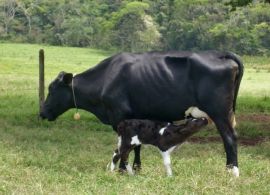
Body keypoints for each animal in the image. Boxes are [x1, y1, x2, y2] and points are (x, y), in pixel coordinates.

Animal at [40, 50, 245, 177]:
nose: (42, 112)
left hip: (220, 112)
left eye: (52, 89)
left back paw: (232, 171)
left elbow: (124, 147)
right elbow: (136, 145)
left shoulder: (120, 118)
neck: (106, 78)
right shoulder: (135, 119)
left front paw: (123, 170)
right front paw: (137, 168)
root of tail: (218, 54)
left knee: (229, 137)